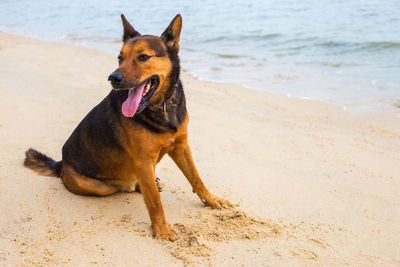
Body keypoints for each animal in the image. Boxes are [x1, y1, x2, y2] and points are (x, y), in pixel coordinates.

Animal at [24, 13, 231, 242]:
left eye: (143, 57)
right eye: (119, 58)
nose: (113, 78)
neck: (161, 106)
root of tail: (61, 164)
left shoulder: (181, 147)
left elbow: (196, 178)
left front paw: (211, 200)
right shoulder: (143, 160)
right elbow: (155, 202)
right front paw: (162, 231)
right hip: (100, 186)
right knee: (125, 187)